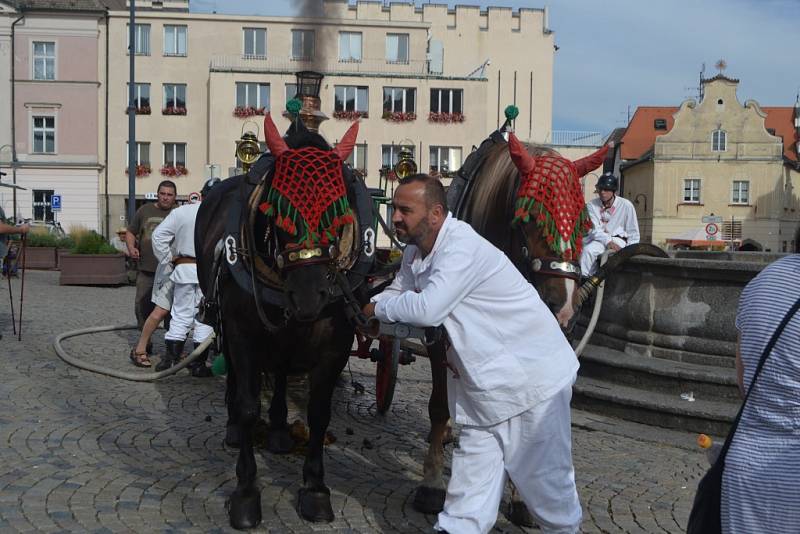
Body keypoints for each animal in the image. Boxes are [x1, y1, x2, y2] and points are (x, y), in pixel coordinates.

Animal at [195, 114, 374, 532]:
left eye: (339, 208)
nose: (309, 297)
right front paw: (246, 493)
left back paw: (277, 429)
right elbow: (247, 407)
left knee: (279, 371)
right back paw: (234, 427)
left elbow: (319, 414)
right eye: (276, 207)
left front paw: (316, 489)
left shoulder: (334, 345)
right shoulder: (242, 334)